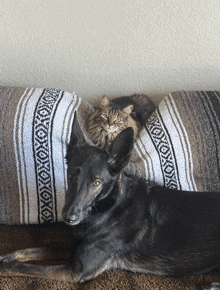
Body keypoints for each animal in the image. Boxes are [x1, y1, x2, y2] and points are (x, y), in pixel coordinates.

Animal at [0, 114, 219, 290]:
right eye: (71, 176)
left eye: (96, 183)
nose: (69, 217)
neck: (109, 207)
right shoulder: (76, 245)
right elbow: (36, 249)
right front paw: (5, 256)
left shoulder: (76, 270)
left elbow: (26, 266)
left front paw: (4, 266)